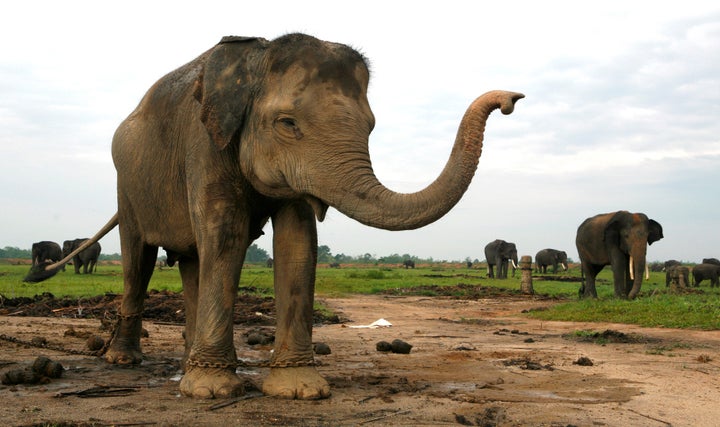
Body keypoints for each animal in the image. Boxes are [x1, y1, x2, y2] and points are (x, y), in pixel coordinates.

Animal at [28, 33, 524, 402]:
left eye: (370, 127)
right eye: (287, 123)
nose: (512, 99)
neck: (253, 59)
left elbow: (297, 242)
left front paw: (299, 390)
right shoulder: (205, 142)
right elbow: (226, 236)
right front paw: (212, 392)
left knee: (192, 260)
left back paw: (188, 360)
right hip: (128, 184)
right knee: (139, 259)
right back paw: (125, 361)